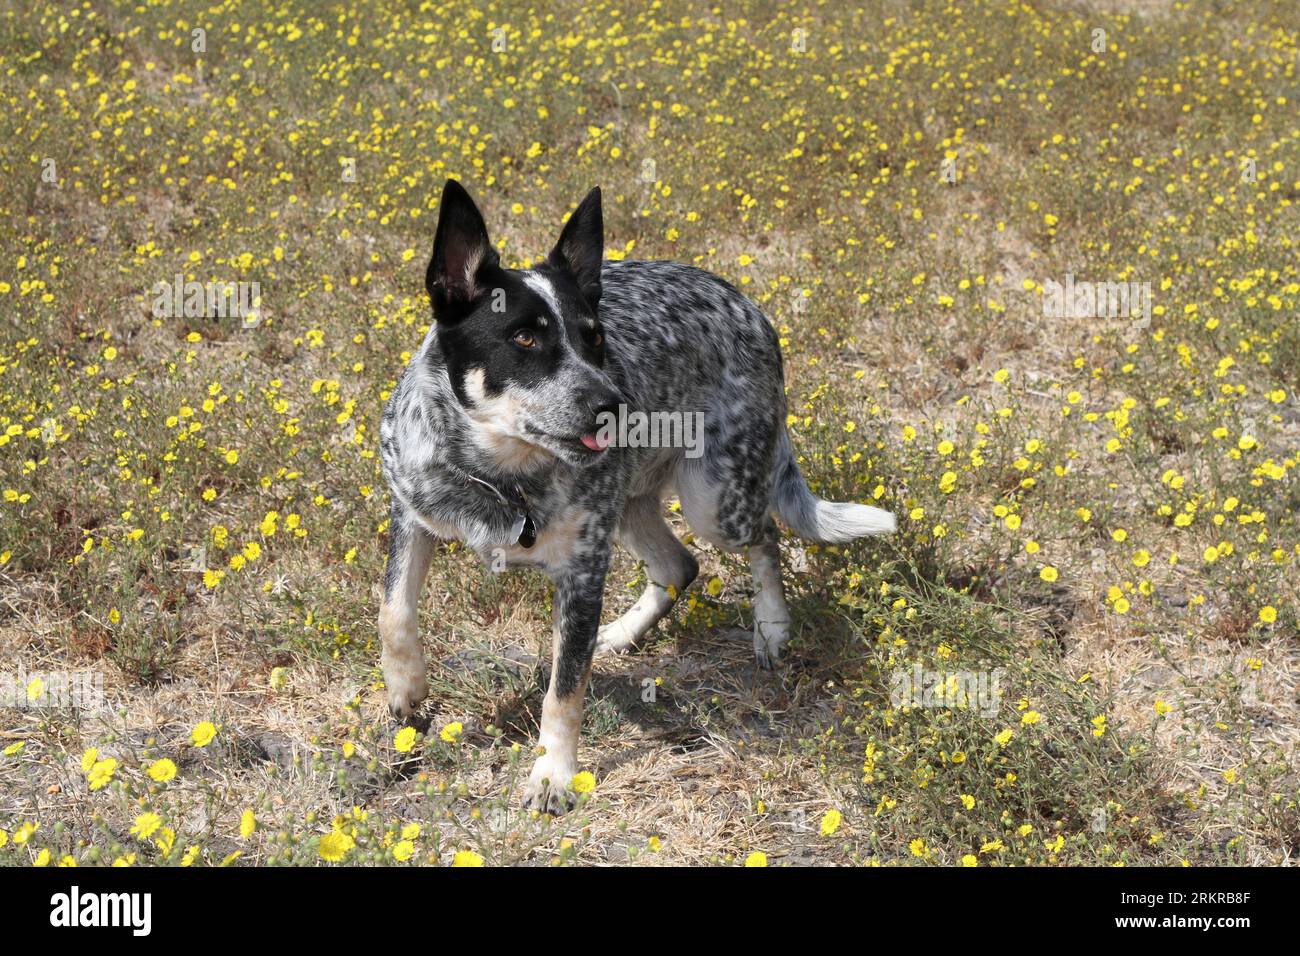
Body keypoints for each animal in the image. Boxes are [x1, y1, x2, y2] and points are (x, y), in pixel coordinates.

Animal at [379, 180, 899, 816]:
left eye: (595, 336)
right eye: (524, 337)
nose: (614, 404)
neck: (499, 473)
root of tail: (752, 308)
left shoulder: (582, 570)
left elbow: (564, 690)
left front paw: (553, 775)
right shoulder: (412, 509)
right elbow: (394, 610)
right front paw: (406, 689)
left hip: (711, 498)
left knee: (763, 536)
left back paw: (772, 627)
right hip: (629, 507)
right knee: (680, 565)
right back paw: (624, 633)